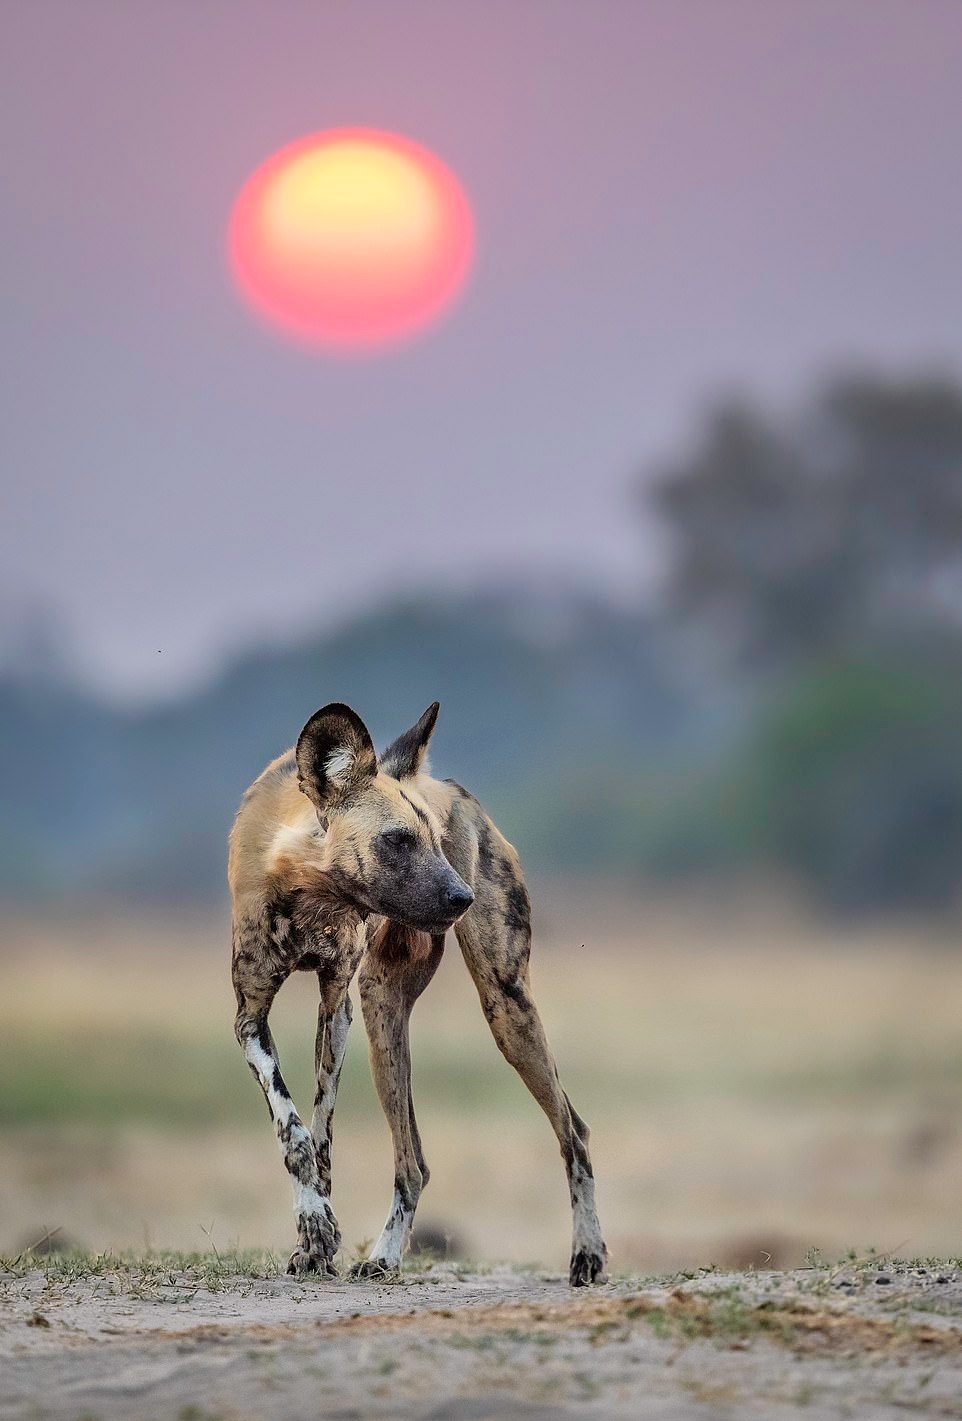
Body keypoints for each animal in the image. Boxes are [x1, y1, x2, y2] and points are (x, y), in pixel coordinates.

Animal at [227, 701, 605, 1290]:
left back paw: (583, 1253)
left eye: (432, 836)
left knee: (573, 1133)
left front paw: (319, 1232)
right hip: (385, 1012)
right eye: (398, 839)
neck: (308, 888)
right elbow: (295, 1133)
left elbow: (320, 1133)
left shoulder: (337, 1006)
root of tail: (452, 787)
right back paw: (384, 1255)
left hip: (499, 1008)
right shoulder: (251, 1017)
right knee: (415, 1162)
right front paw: (314, 1236)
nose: (462, 896)